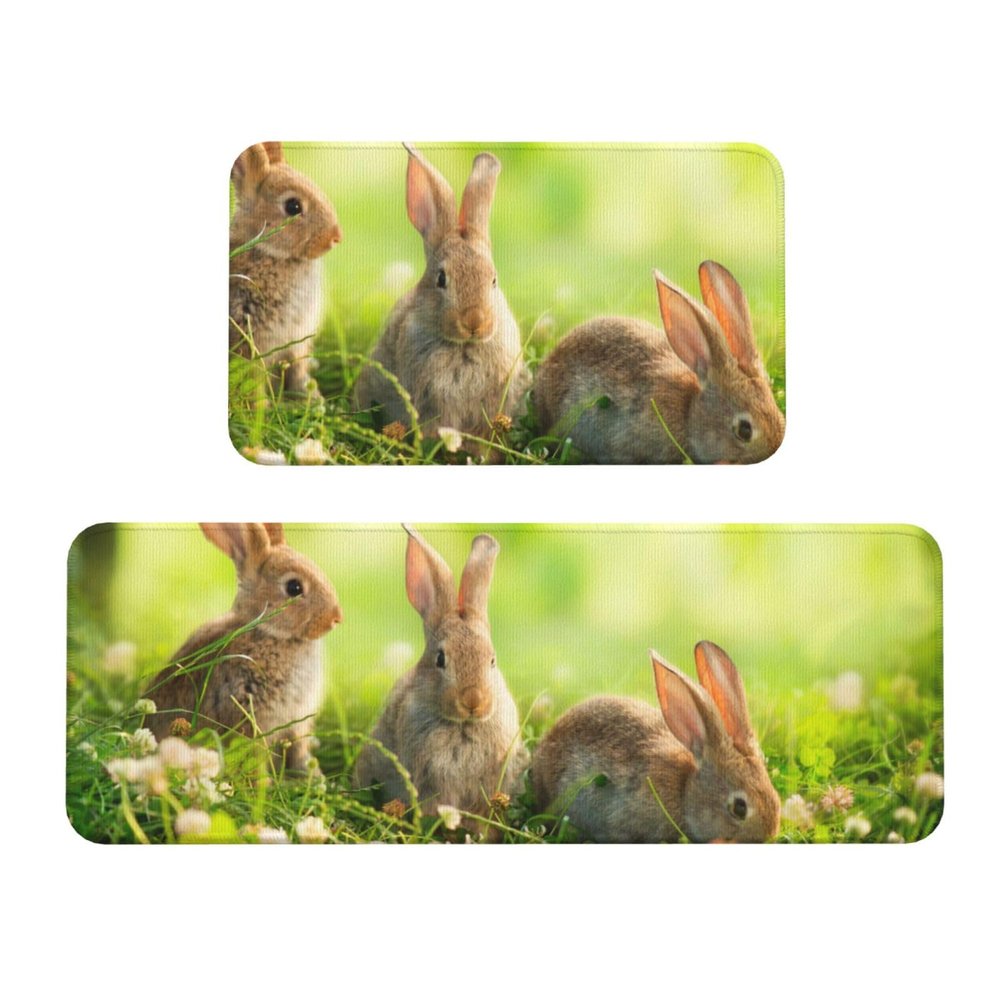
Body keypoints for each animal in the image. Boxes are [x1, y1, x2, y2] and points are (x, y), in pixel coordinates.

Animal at [145, 523, 342, 774]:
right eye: (294, 587)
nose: (336, 618)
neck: (268, 632)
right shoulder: (247, 713)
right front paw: (263, 781)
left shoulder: (296, 722)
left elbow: (299, 749)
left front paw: (312, 775)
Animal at [229, 142, 342, 398]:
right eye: (293, 206)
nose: (335, 237)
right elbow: (252, 378)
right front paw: (260, 406)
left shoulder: (297, 339)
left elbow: (298, 369)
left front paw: (312, 397)